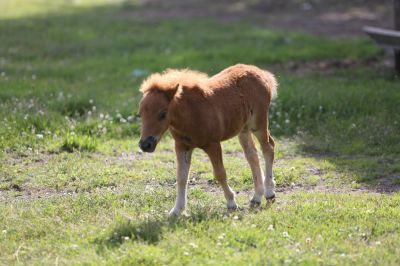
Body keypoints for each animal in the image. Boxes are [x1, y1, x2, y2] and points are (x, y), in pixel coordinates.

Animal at [139, 64, 276, 216]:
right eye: (140, 114)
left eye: (162, 114)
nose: (145, 144)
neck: (191, 113)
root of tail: (262, 74)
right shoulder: (182, 146)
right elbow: (181, 177)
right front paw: (177, 210)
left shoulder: (213, 144)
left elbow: (220, 174)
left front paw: (231, 203)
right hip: (243, 129)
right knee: (252, 155)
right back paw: (256, 198)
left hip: (258, 123)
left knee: (268, 148)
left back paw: (269, 193)